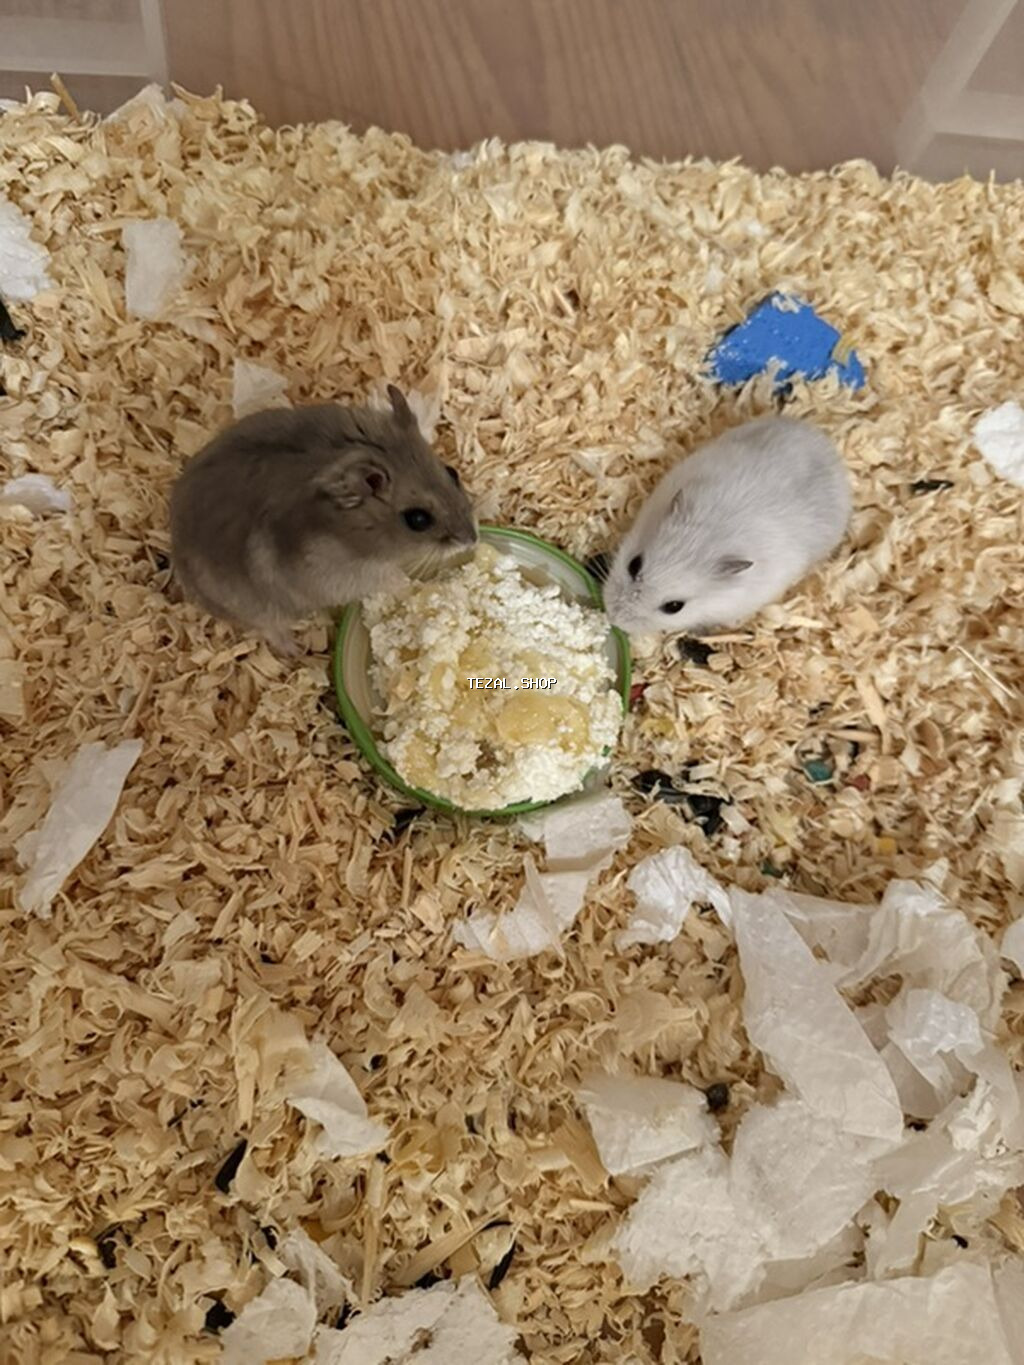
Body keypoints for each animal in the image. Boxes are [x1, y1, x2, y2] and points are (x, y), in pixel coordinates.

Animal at [169, 385, 478, 655]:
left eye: (452, 473)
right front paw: (414, 587)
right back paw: (294, 651)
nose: (473, 540)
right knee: (268, 627)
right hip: (256, 606)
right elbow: (391, 579)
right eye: (418, 519)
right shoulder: (344, 572)